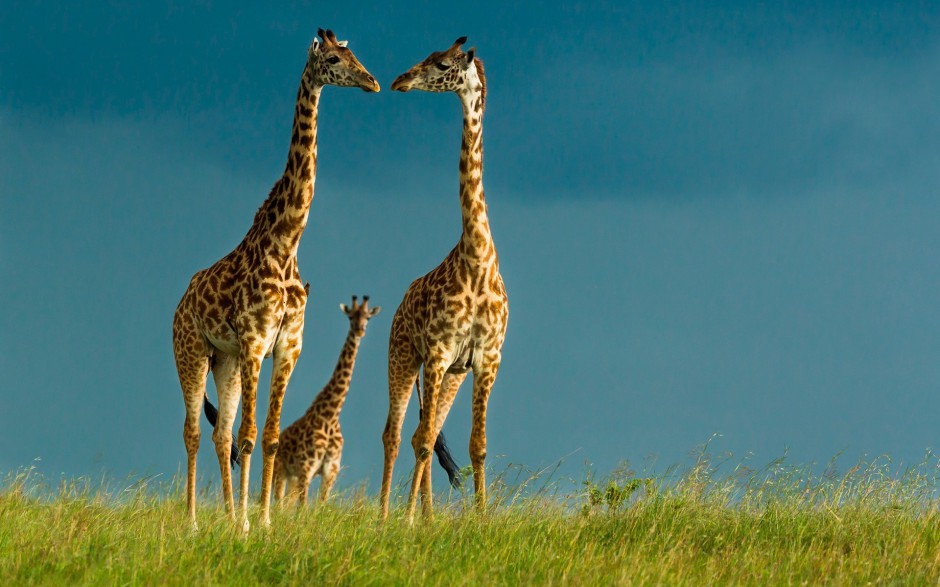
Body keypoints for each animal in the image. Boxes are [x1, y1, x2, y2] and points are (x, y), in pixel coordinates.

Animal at [270, 296, 380, 508]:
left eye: (368, 318)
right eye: (351, 316)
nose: (360, 330)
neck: (330, 415)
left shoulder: (330, 471)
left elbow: (321, 504)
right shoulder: (307, 467)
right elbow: (303, 507)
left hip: (293, 477)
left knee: (286, 504)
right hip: (281, 471)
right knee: (279, 502)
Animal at [382, 38, 510, 524]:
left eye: (440, 63)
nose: (399, 81)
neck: (477, 259)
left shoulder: (486, 358)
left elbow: (478, 446)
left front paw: (482, 517)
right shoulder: (436, 353)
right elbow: (420, 443)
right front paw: (406, 521)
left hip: (452, 372)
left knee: (427, 429)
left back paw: (428, 515)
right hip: (403, 355)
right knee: (398, 434)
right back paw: (391, 515)